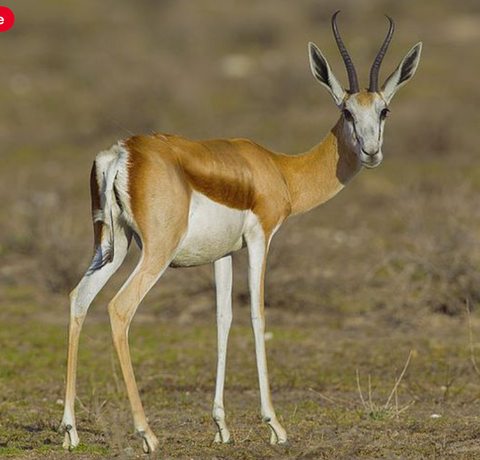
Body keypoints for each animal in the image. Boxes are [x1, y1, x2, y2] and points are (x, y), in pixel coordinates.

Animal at [59, 10, 420, 452]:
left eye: (384, 111)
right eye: (348, 111)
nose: (371, 152)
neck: (280, 171)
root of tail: (122, 153)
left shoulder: (223, 254)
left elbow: (223, 318)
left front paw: (221, 426)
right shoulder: (260, 239)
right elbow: (258, 316)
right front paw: (275, 426)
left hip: (114, 246)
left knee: (79, 299)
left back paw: (71, 431)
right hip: (154, 252)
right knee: (119, 308)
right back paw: (147, 433)